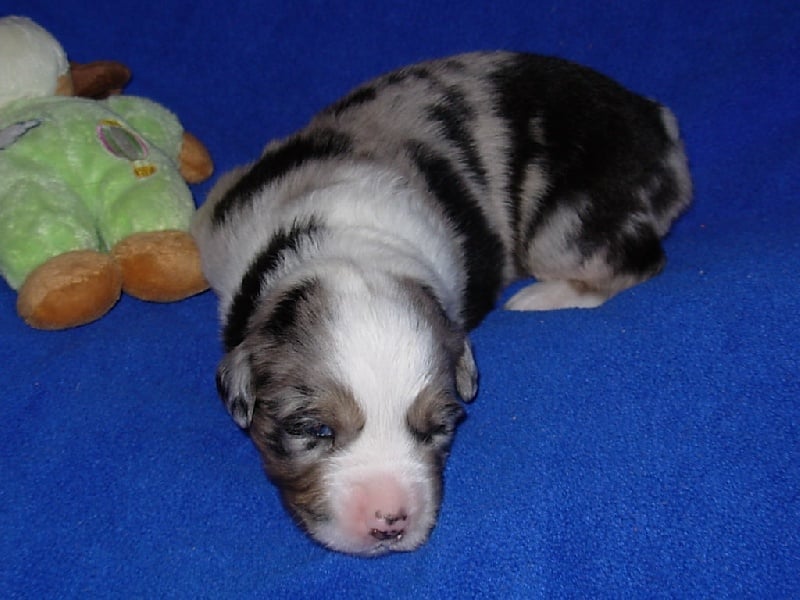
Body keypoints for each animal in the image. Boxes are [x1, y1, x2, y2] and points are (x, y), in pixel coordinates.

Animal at [191, 51, 692, 556]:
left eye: (437, 428)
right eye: (316, 430)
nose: (389, 523)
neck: (341, 242)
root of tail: (657, 121)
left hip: (568, 222)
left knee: (638, 261)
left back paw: (543, 297)